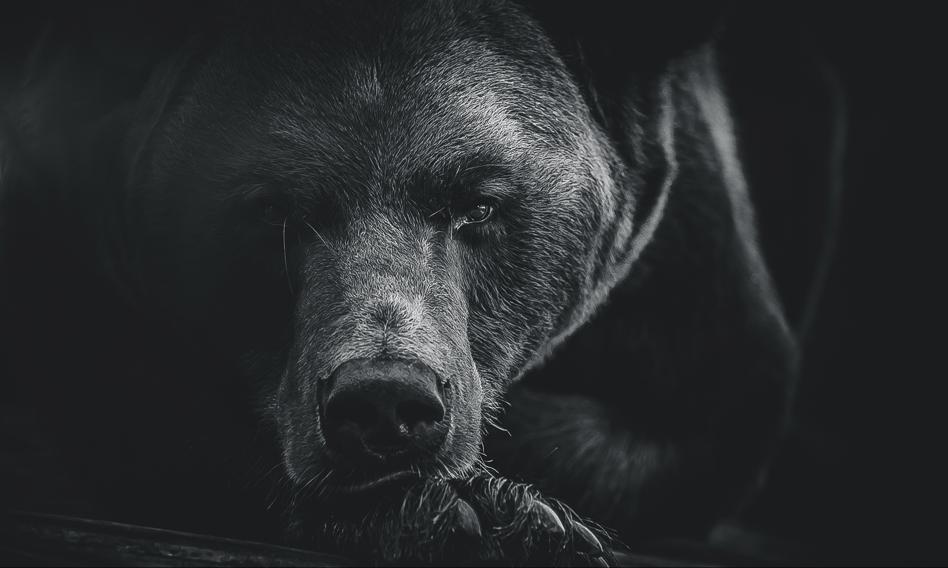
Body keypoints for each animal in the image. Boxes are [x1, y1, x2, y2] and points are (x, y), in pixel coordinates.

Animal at [0, 1, 797, 564]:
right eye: (275, 212)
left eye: (480, 203)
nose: (384, 400)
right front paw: (472, 514)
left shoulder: (694, 289)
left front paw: (519, 513)